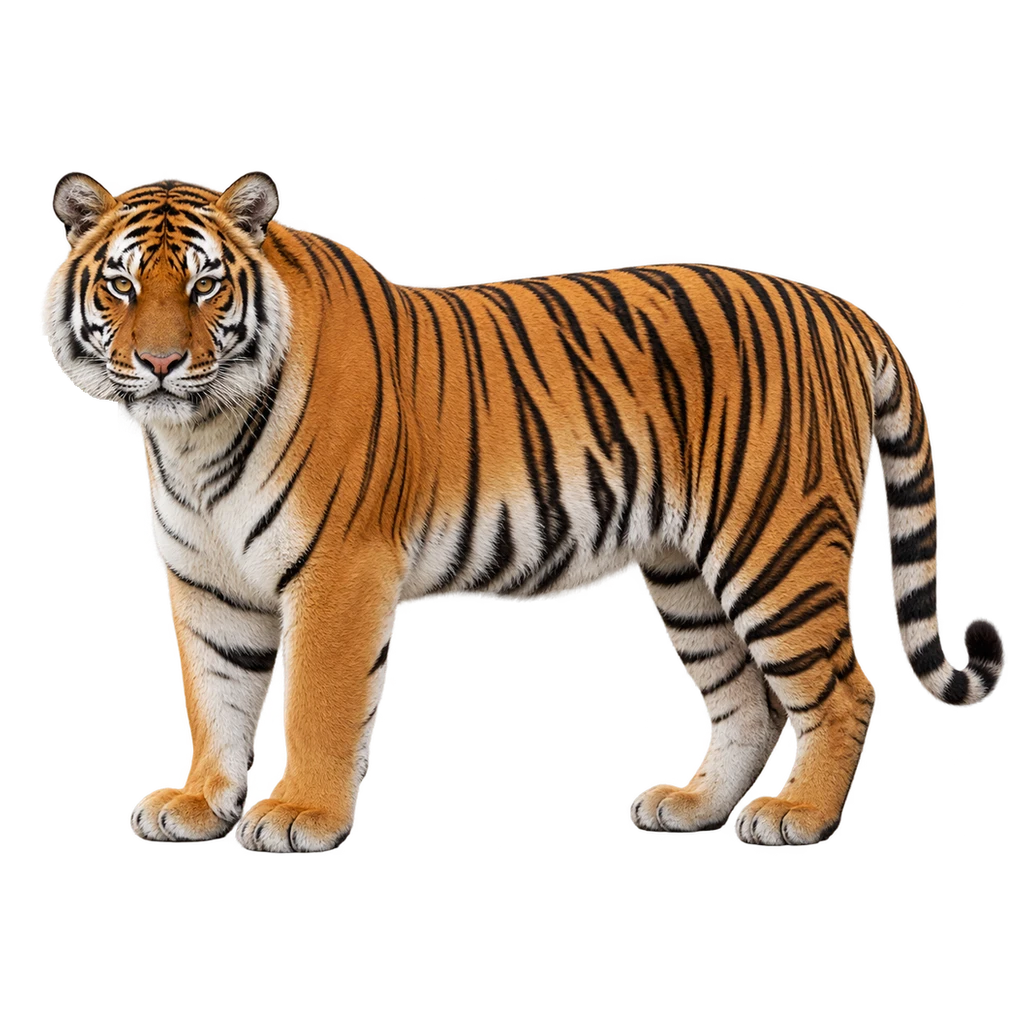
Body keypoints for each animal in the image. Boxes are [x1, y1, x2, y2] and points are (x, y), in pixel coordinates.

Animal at [40, 170, 1006, 853]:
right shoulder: (206, 580)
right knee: (744, 701)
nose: (161, 364)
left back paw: (799, 817)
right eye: (123, 287)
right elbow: (213, 693)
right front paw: (196, 802)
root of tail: (839, 305)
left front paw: (296, 816)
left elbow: (316, 699)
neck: (193, 435)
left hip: (777, 546)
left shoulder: (339, 569)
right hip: (688, 573)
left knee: (843, 689)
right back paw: (693, 805)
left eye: (205, 288)